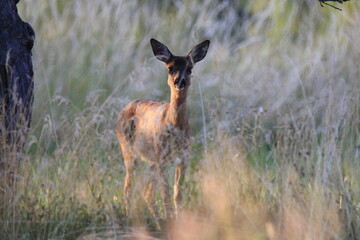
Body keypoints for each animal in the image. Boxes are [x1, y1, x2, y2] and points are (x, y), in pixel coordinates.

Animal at [115, 37, 211, 223]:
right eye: (170, 68)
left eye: (190, 69)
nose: (179, 81)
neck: (174, 126)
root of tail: (125, 108)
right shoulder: (162, 158)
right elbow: (166, 193)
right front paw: (170, 219)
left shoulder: (183, 157)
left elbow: (177, 193)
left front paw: (178, 220)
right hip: (129, 150)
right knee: (128, 187)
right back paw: (131, 217)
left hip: (152, 158)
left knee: (147, 191)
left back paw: (157, 220)